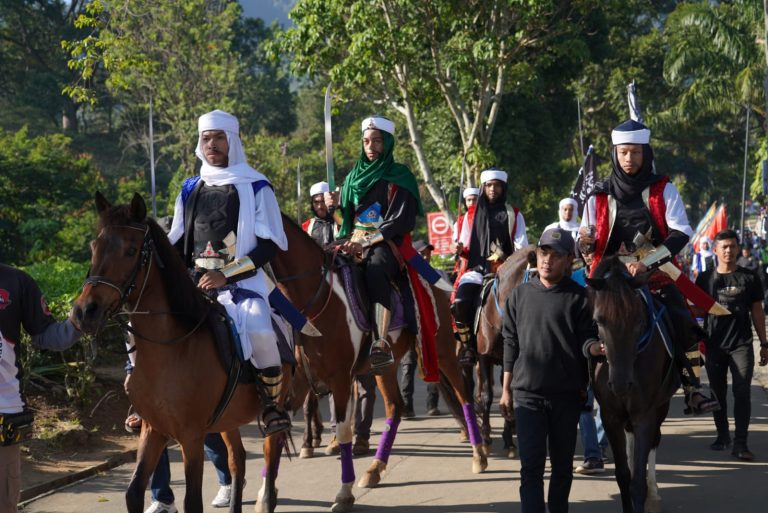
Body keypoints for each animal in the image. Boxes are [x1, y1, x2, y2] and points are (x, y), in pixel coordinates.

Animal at [70, 193, 284, 512]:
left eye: (131, 251)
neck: (171, 349)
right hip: (227, 419)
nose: (85, 312)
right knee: (238, 459)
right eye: (94, 247)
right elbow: (133, 491)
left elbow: (192, 500)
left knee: (272, 457)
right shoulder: (153, 430)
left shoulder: (191, 436)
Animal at [268, 214, 486, 510]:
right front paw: (265, 495)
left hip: (442, 352)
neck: (314, 301)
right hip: (385, 366)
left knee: (463, 395)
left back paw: (479, 454)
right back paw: (375, 468)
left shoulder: (340, 379)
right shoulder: (300, 379)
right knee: (395, 407)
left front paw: (343, 493)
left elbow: (344, 429)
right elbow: (278, 430)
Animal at [584, 256, 680, 512]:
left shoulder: (645, 414)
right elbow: (623, 475)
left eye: (638, 320)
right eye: (598, 320)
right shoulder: (611, 416)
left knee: (654, 441)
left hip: (661, 406)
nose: (620, 384)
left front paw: (646, 493)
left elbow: (637, 481)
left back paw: (653, 495)